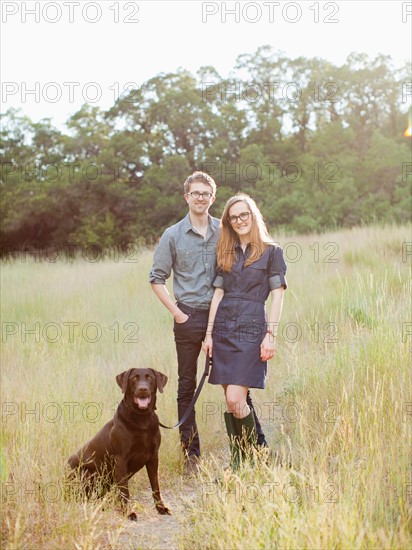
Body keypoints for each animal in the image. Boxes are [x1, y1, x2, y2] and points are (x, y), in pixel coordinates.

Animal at [67, 370, 169, 520]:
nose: (142, 389)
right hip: (85, 473)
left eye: (150, 378)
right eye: (134, 378)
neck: (141, 419)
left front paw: (161, 508)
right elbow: (124, 491)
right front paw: (129, 513)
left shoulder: (153, 458)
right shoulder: (121, 460)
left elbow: (155, 487)